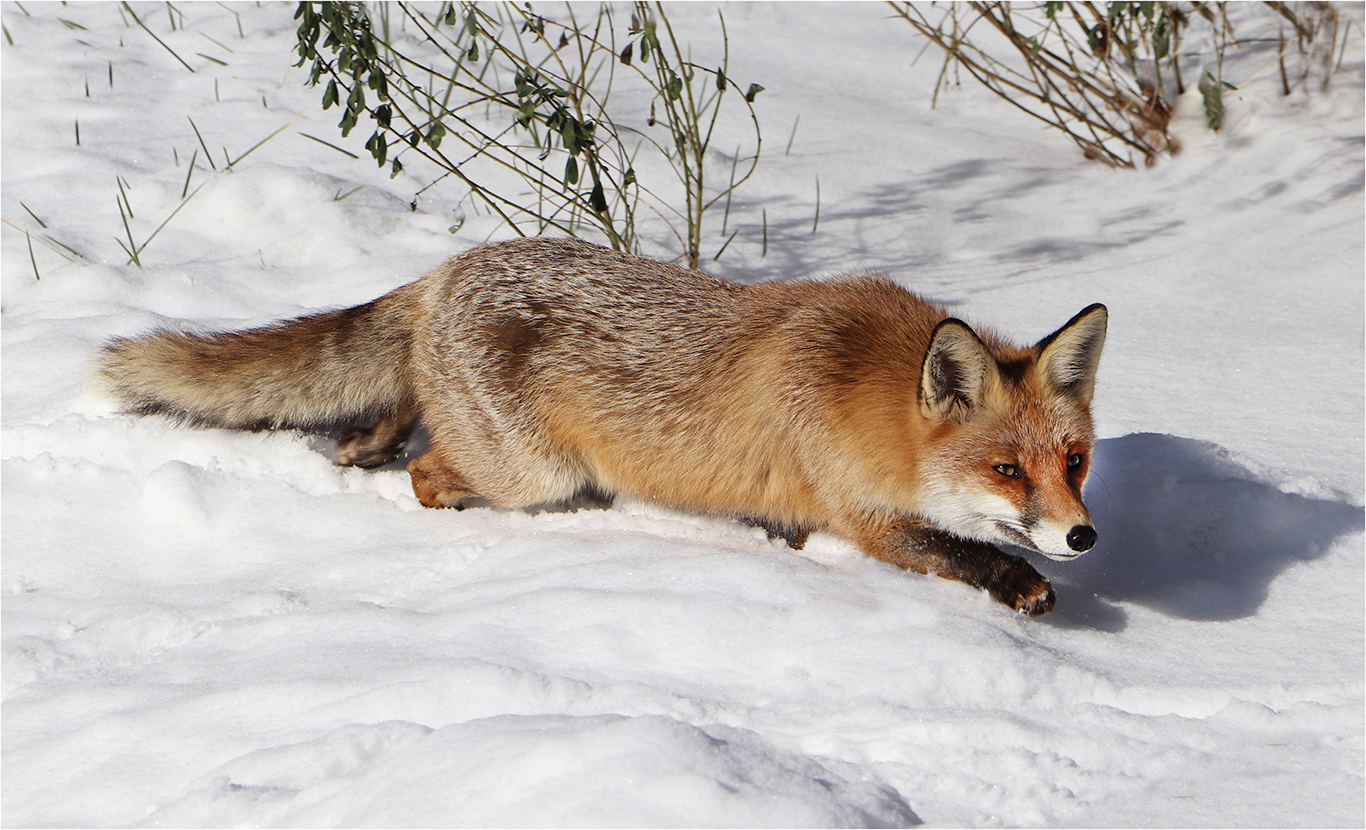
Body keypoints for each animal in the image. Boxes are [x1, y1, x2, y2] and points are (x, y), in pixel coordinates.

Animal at [103, 236, 1109, 611]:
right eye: (1006, 472)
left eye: (1074, 462)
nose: (1083, 538)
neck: (859, 384)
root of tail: (449, 267)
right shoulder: (858, 514)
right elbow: (957, 550)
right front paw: (1023, 585)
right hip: (531, 473)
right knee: (432, 474)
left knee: (399, 417)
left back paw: (364, 442)